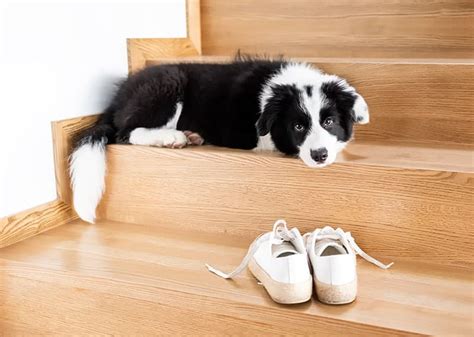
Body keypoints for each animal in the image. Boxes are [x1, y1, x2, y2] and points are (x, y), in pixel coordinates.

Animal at [69, 56, 370, 222]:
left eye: (329, 121)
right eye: (298, 126)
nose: (319, 156)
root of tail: (117, 99)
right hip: (168, 81)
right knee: (128, 132)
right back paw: (172, 137)